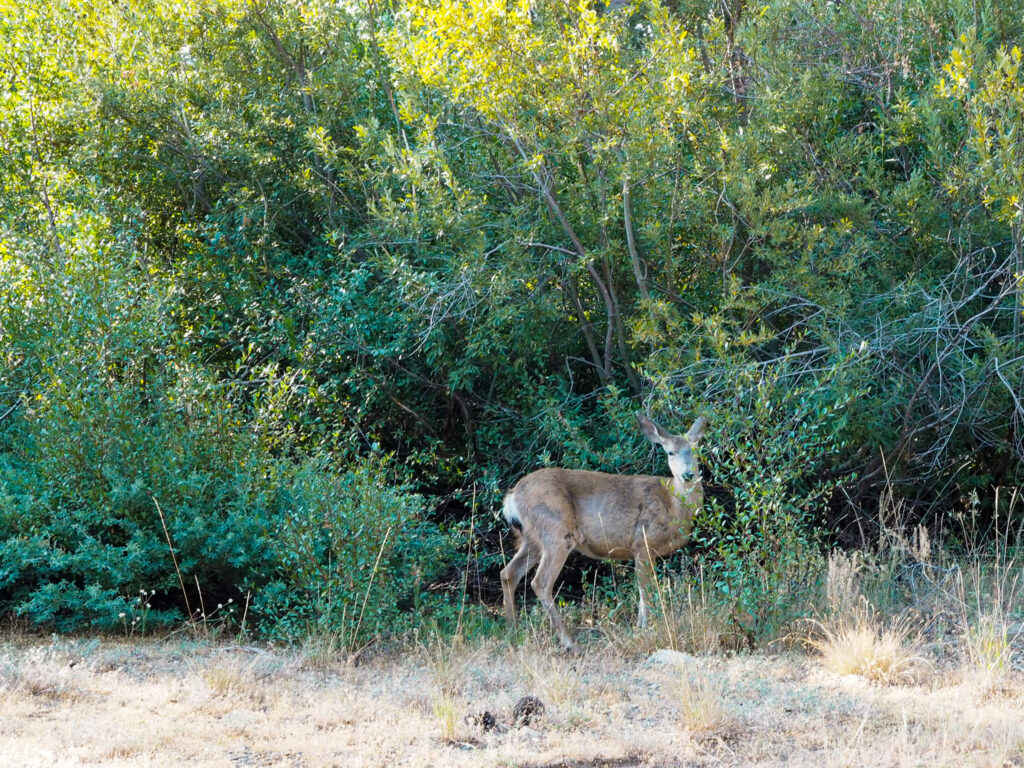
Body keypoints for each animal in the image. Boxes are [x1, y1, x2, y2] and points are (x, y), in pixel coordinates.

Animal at [500, 414, 707, 651]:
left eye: (695, 449)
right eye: (670, 452)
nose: (688, 474)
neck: (673, 505)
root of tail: (512, 498)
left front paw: (640, 627)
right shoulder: (643, 542)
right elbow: (646, 589)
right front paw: (644, 628)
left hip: (532, 538)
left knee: (508, 573)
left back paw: (514, 631)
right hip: (556, 531)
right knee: (540, 582)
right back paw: (569, 642)